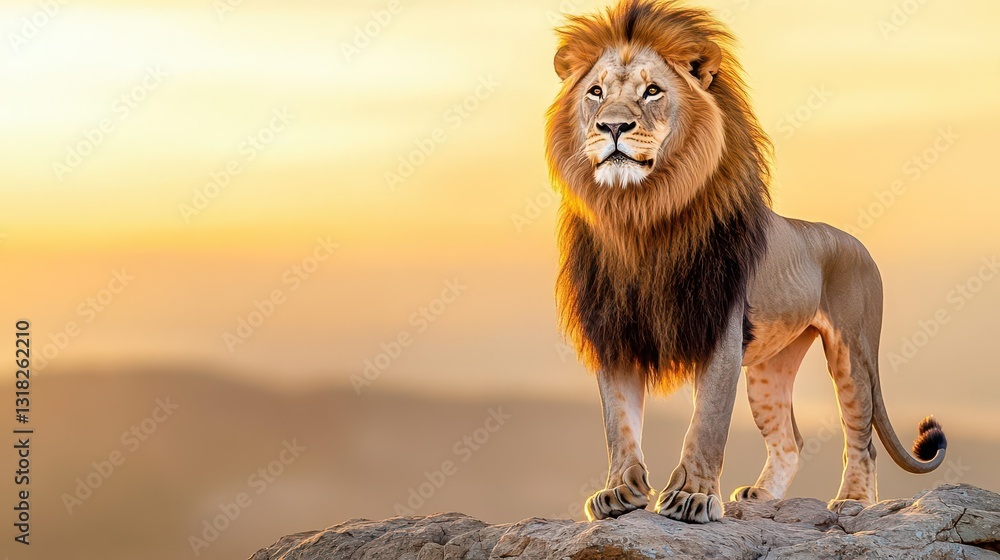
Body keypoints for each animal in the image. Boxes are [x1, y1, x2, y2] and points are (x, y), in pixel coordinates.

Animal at [545, 0, 948, 524]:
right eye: (595, 92)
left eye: (652, 91)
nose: (612, 126)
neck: (641, 216)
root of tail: (854, 242)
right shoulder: (615, 330)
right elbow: (619, 423)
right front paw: (619, 494)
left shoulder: (721, 327)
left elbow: (708, 422)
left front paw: (693, 497)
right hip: (769, 368)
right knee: (790, 441)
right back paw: (760, 499)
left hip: (852, 351)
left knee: (862, 437)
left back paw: (853, 502)